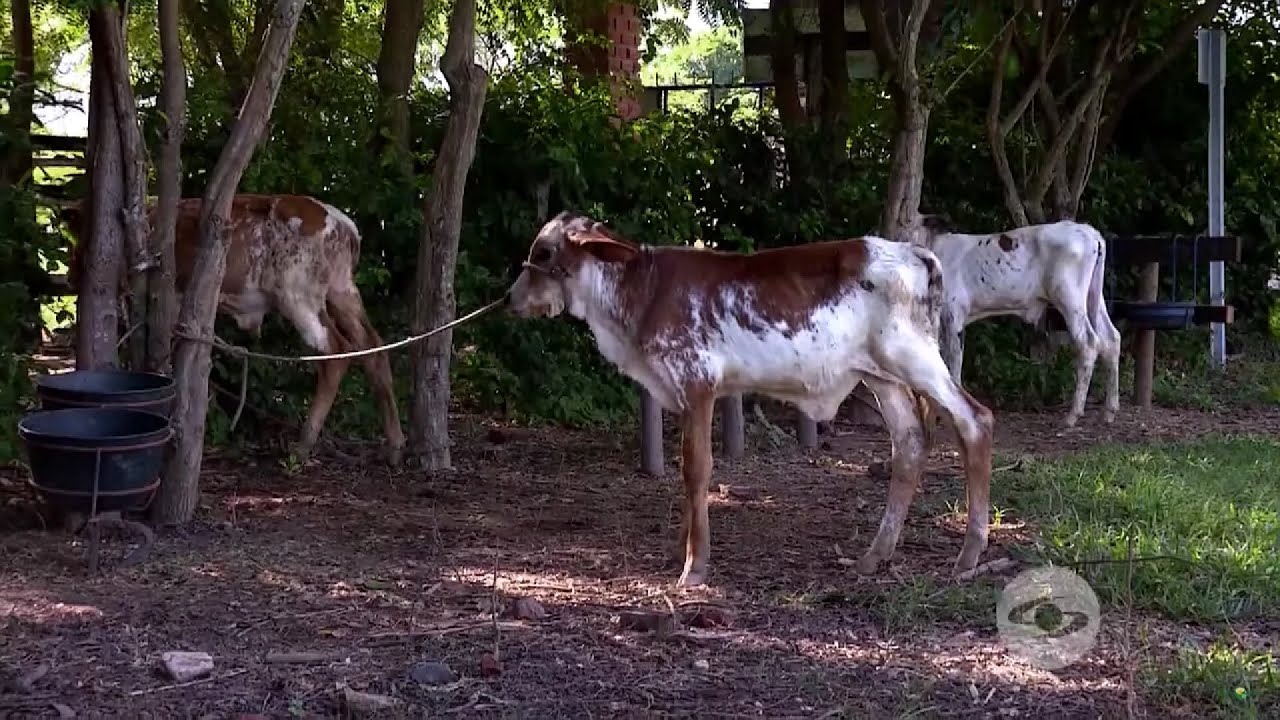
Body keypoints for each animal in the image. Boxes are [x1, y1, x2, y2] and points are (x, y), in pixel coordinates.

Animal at [56, 192, 399, 458]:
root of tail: (342, 223)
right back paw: (395, 444)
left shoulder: (173, 301)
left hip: (299, 296)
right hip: (342, 292)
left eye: (83, 231)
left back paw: (303, 444)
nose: (71, 275)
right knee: (373, 347)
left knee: (336, 351)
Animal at [504, 210, 993, 586]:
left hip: (915, 358)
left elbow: (696, 469)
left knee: (975, 420)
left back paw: (969, 555)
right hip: (882, 375)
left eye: (543, 253)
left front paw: (693, 567)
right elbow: (687, 471)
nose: (509, 298)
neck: (639, 294)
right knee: (909, 443)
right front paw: (678, 552)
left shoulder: (698, 382)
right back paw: (874, 556)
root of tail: (914, 252)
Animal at [911, 212, 1121, 425]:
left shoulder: (953, 317)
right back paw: (1109, 411)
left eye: (910, 223)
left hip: (1069, 297)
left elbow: (953, 364)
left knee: (1088, 343)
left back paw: (1073, 415)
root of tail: (1088, 231)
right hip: (1094, 296)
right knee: (1111, 338)